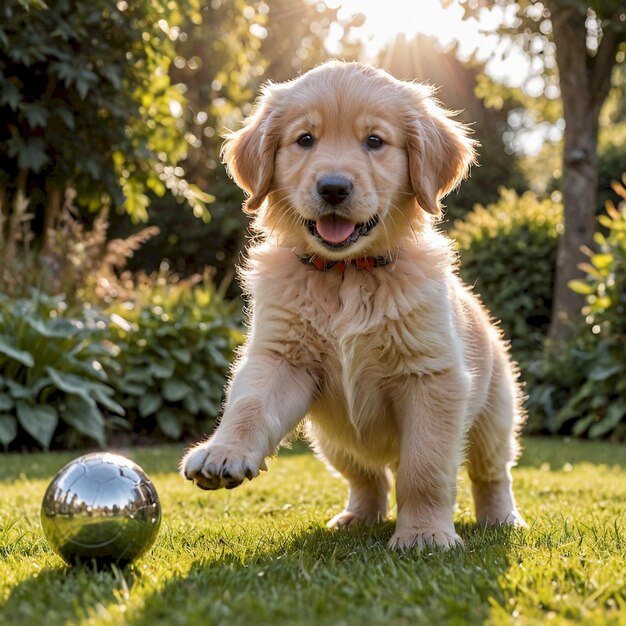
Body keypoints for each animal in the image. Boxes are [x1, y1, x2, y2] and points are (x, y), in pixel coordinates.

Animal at [180, 58, 528, 544]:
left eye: (375, 141)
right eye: (305, 139)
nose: (333, 187)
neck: (347, 273)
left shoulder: (432, 378)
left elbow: (425, 468)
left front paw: (424, 534)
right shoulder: (282, 357)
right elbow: (250, 405)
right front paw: (223, 451)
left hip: (493, 417)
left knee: (491, 472)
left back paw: (501, 517)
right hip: (332, 440)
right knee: (367, 476)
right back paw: (358, 517)